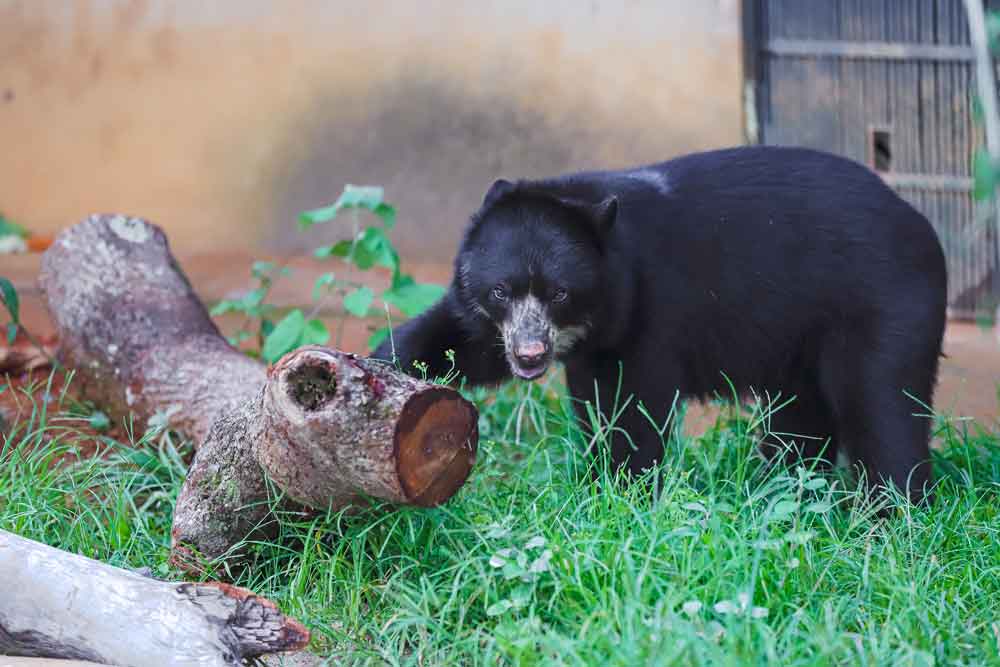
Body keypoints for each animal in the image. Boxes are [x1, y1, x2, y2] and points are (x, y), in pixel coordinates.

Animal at [374, 146, 944, 500]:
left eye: (560, 293)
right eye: (500, 291)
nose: (530, 355)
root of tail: (924, 229)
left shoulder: (649, 314)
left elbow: (633, 409)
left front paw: (617, 493)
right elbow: (461, 342)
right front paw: (380, 370)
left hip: (882, 307)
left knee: (882, 408)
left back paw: (891, 515)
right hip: (803, 337)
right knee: (801, 416)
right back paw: (785, 490)